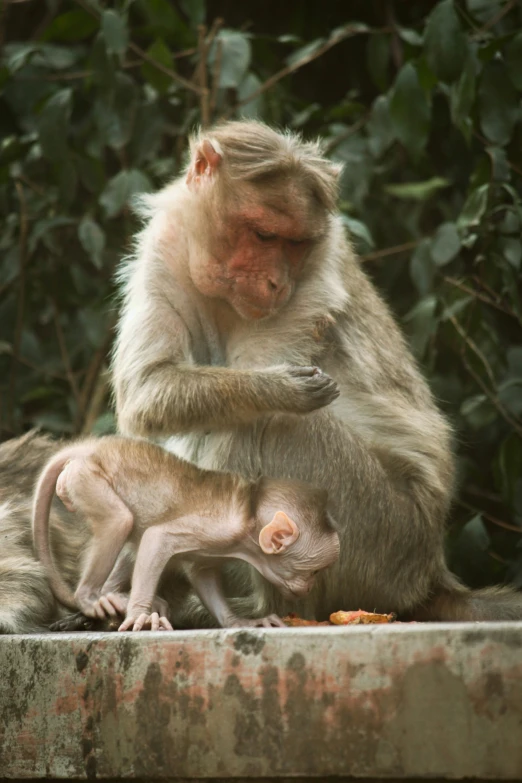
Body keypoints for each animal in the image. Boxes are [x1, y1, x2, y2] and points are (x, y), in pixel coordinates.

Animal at [31, 438, 338, 632]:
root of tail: (92, 447)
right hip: (87, 477)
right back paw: (92, 598)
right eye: (313, 571)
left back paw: (113, 596)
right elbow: (157, 538)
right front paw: (139, 616)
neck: (249, 514)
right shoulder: (218, 528)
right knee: (120, 522)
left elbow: (202, 573)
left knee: (131, 539)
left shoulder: (215, 547)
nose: (309, 587)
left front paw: (239, 622)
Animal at [111, 121, 520, 624]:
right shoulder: (162, 249)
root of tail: (431, 574)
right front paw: (275, 386)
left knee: (263, 427)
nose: (275, 283)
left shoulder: (312, 280)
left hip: (379, 537)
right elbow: (149, 386)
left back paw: (268, 606)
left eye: (297, 244)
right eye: (265, 236)